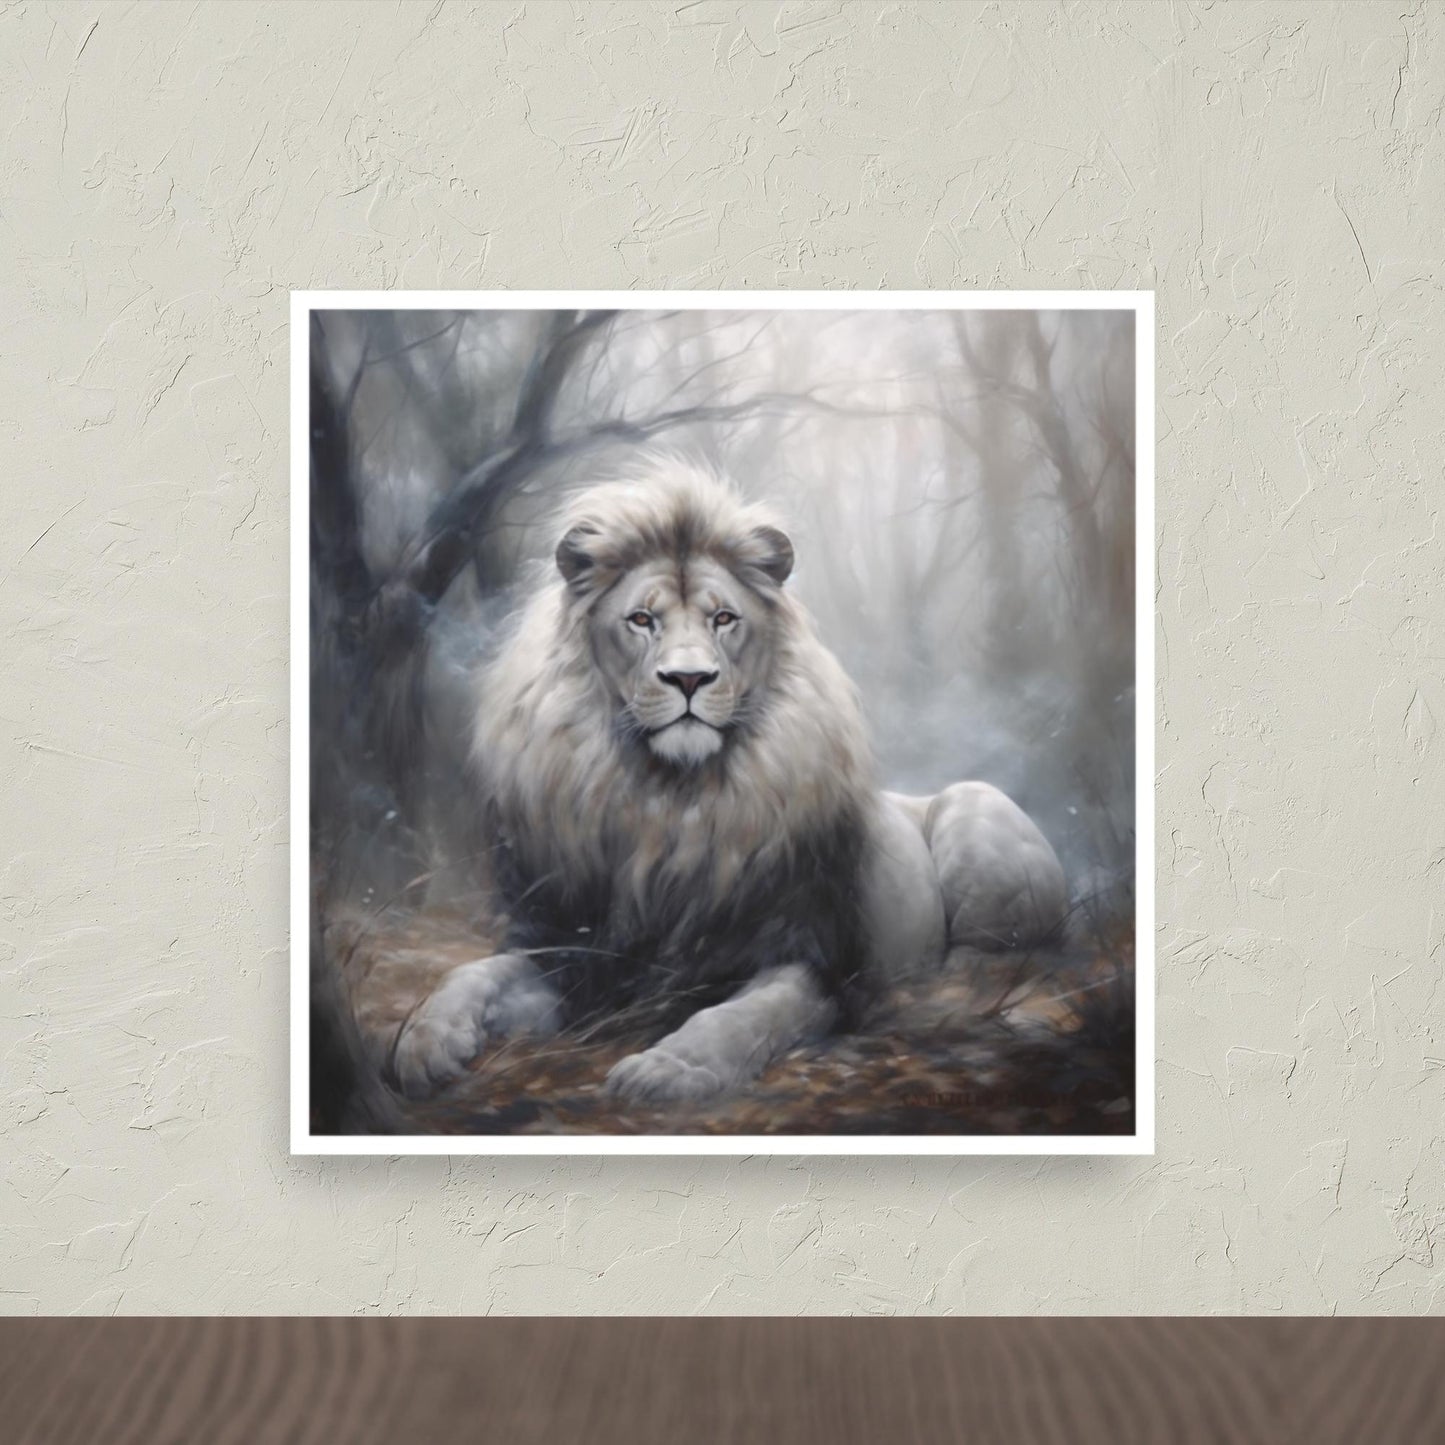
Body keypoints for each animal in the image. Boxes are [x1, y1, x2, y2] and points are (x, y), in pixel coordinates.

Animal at [392, 458, 1067, 1103]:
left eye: (723, 618)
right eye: (641, 619)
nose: (689, 678)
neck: (669, 805)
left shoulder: (810, 960)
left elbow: (739, 1018)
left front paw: (669, 1070)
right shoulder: (567, 954)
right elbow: (470, 975)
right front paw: (422, 1043)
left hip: (978, 809)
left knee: (1006, 959)